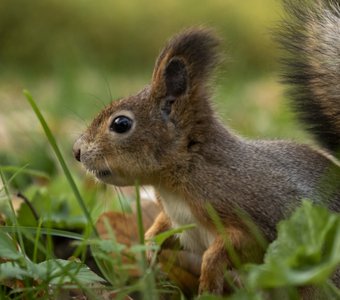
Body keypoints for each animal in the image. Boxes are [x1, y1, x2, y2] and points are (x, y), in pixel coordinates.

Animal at [73, 0, 340, 296]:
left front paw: (208, 284)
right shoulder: (177, 220)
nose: (77, 152)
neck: (184, 175)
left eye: (121, 124)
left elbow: (227, 250)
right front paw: (149, 247)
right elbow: (161, 228)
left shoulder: (253, 220)